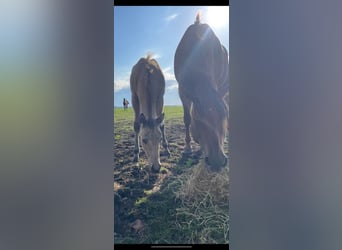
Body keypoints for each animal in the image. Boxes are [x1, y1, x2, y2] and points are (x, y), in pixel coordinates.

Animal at [175, 12, 228, 171]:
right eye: (198, 120)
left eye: (225, 116)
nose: (217, 161)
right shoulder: (182, 90)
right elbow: (187, 119)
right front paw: (188, 147)